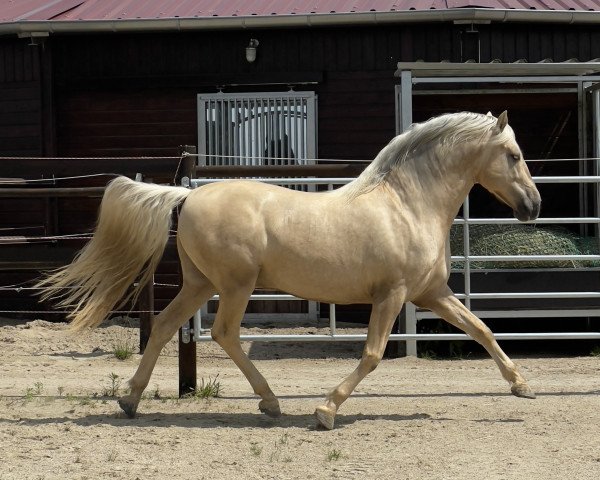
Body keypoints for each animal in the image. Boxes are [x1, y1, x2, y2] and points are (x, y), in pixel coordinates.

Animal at [39, 110, 540, 430]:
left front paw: (522, 386)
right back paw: (270, 402)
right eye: (514, 155)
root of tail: (188, 193)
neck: (408, 205)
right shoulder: (393, 295)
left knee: (163, 326)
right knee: (223, 333)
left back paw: (130, 399)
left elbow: (481, 329)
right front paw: (326, 411)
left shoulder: (432, 293)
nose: (533, 206)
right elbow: (373, 354)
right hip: (235, 285)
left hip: (201, 284)